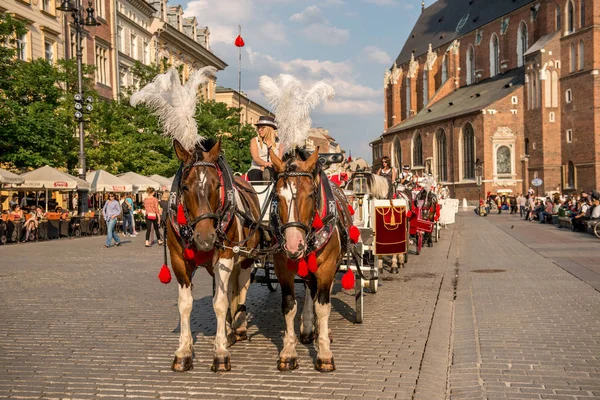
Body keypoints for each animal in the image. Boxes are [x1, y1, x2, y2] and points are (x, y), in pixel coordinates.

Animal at [169, 139, 262, 374]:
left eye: (217, 185)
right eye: (185, 187)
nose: (205, 237)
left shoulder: (225, 257)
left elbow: (219, 303)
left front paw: (220, 353)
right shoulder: (178, 261)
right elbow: (186, 304)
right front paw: (183, 351)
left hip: (245, 258)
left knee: (241, 288)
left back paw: (238, 326)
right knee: (229, 290)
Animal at [268, 148, 356, 374]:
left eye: (310, 194)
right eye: (277, 196)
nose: (293, 245)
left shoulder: (326, 269)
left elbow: (323, 306)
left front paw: (324, 353)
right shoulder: (282, 269)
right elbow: (289, 306)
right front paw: (288, 352)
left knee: (322, 295)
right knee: (310, 289)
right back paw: (308, 328)